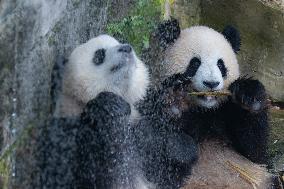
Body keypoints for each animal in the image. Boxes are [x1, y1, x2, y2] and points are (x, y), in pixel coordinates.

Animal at [37, 34, 151, 189]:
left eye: (117, 42)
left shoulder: (137, 127)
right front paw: (109, 105)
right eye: (99, 54)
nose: (126, 48)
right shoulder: (63, 137)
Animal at [136, 19, 282, 189]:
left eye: (220, 65)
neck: (203, 110)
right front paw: (174, 99)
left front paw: (250, 97)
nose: (211, 83)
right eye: (195, 63)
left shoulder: (224, 114)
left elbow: (255, 151)